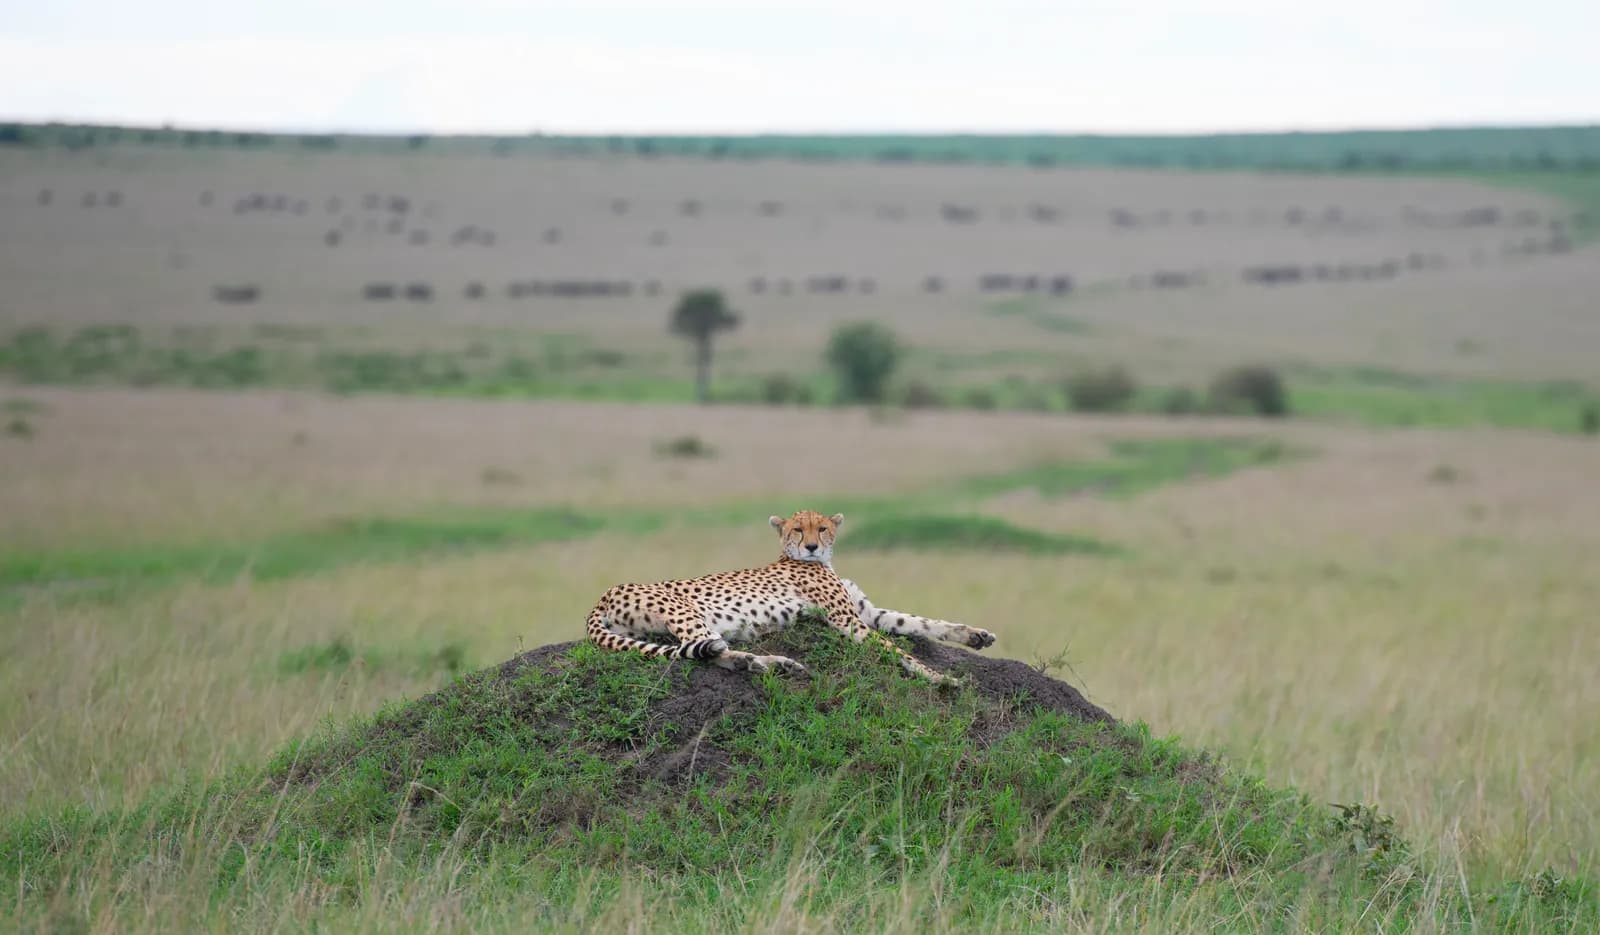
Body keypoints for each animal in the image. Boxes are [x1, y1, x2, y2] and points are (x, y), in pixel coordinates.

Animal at [584, 509, 997, 684]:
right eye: (798, 529)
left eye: (823, 528)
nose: (812, 546)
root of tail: (603, 595)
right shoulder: (847, 620)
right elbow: (897, 650)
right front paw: (939, 678)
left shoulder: (867, 613)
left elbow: (920, 622)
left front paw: (975, 635)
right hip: (687, 612)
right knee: (708, 650)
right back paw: (769, 663)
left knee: (706, 651)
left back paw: (763, 664)